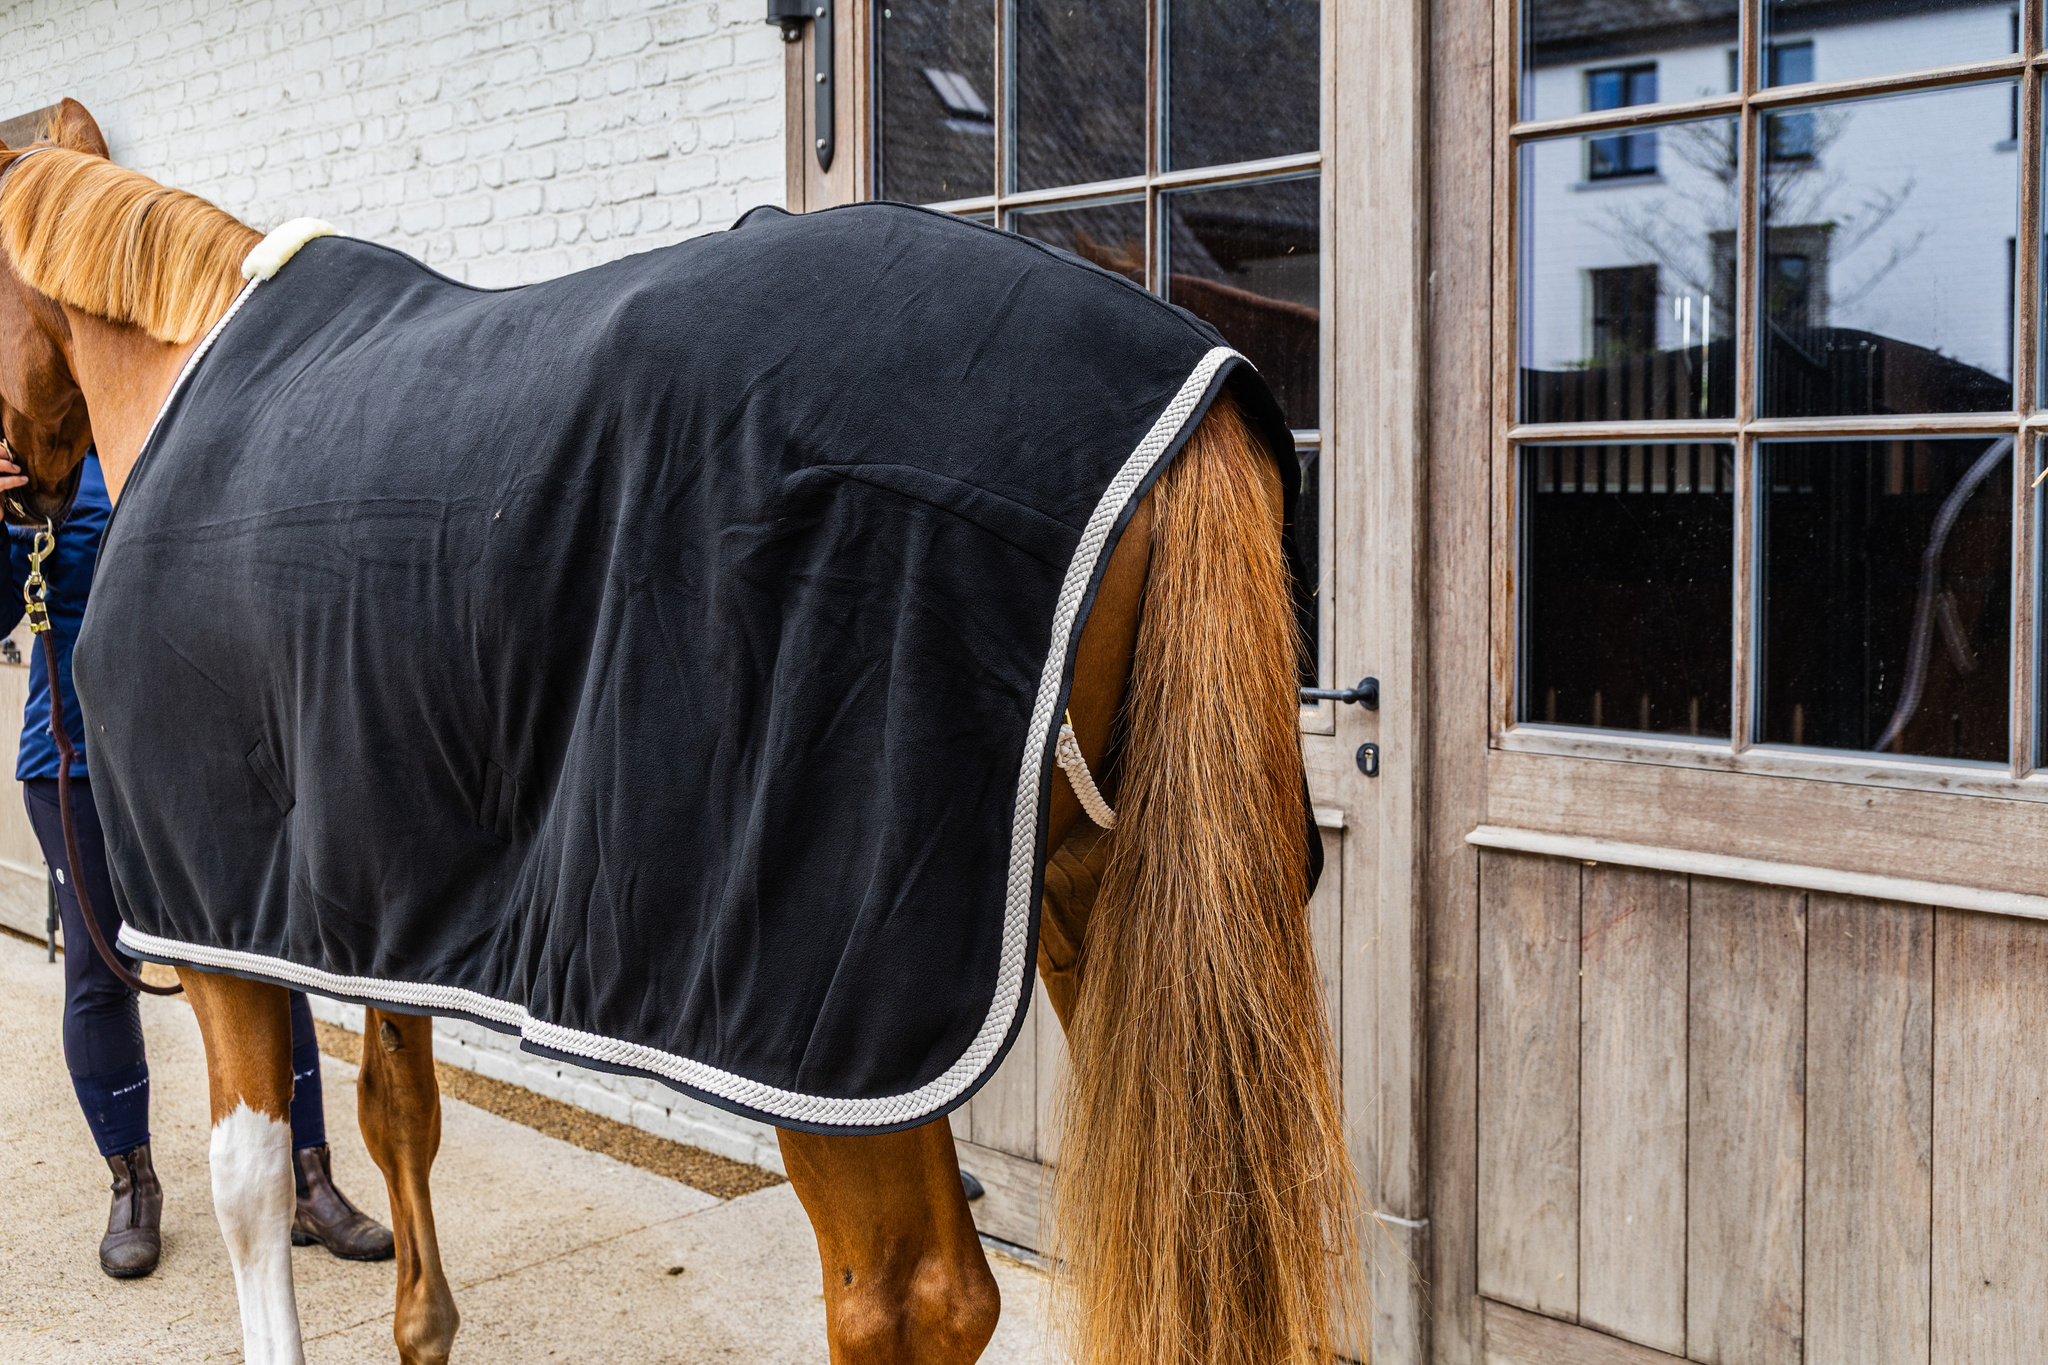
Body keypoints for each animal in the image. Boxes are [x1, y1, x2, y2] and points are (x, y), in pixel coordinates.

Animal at [0, 100, 1362, 1365]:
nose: (22, 503)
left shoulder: (212, 915)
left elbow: (250, 1183)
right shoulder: (365, 903)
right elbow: (399, 1113)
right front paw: (422, 1330)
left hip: (820, 1019)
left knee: (908, 1298)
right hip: (1105, 902)